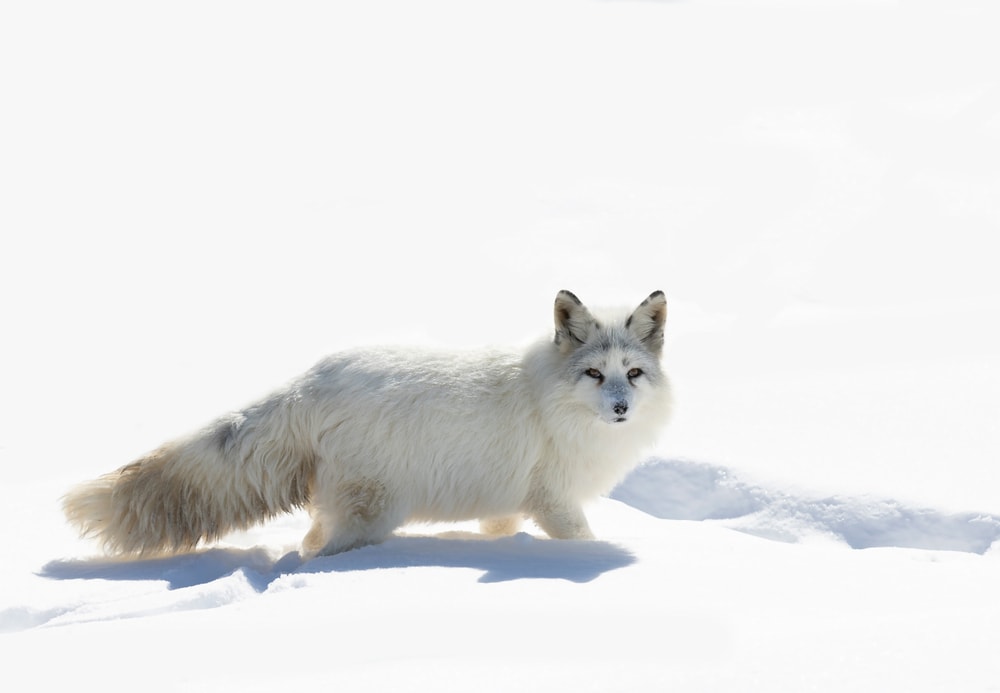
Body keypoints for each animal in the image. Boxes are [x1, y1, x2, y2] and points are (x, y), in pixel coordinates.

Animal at [63, 290, 672, 558]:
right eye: (593, 373)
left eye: (632, 374)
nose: (621, 408)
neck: (551, 401)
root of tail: (311, 381)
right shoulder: (555, 502)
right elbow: (585, 540)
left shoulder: (507, 502)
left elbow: (499, 532)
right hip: (372, 515)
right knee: (318, 553)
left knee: (309, 541)